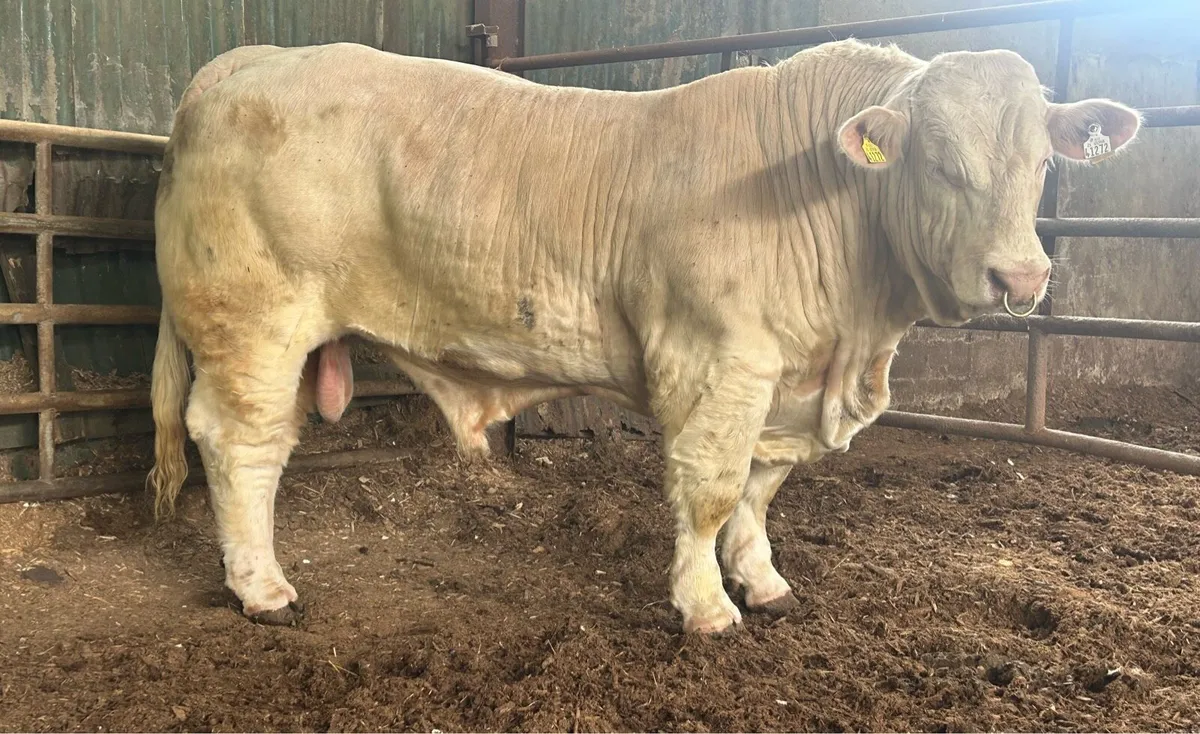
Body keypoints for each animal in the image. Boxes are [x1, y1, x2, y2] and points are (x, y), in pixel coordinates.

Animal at [148, 39, 1139, 634]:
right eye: (939, 162)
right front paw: (706, 604)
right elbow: (710, 489)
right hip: (253, 323)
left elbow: (760, 488)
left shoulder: (782, 377)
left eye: (1043, 164)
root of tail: (248, 63)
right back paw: (262, 588)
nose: (1021, 279)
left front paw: (760, 578)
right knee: (238, 445)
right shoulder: (719, 359)